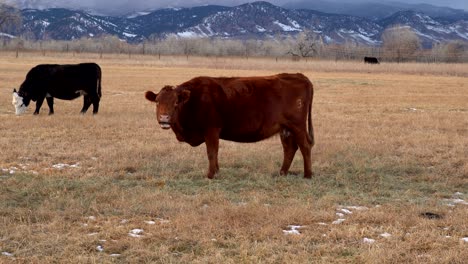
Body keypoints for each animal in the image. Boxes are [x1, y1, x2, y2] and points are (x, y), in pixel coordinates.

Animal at [145, 73, 314, 178]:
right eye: (157, 102)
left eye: (175, 103)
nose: (164, 118)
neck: (193, 100)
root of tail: (298, 76)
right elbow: (214, 153)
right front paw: (217, 172)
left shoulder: (211, 130)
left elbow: (212, 152)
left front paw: (211, 175)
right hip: (285, 129)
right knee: (289, 149)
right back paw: (282, 172)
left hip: (298, 126)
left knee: (305, 147)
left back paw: (308, 175)